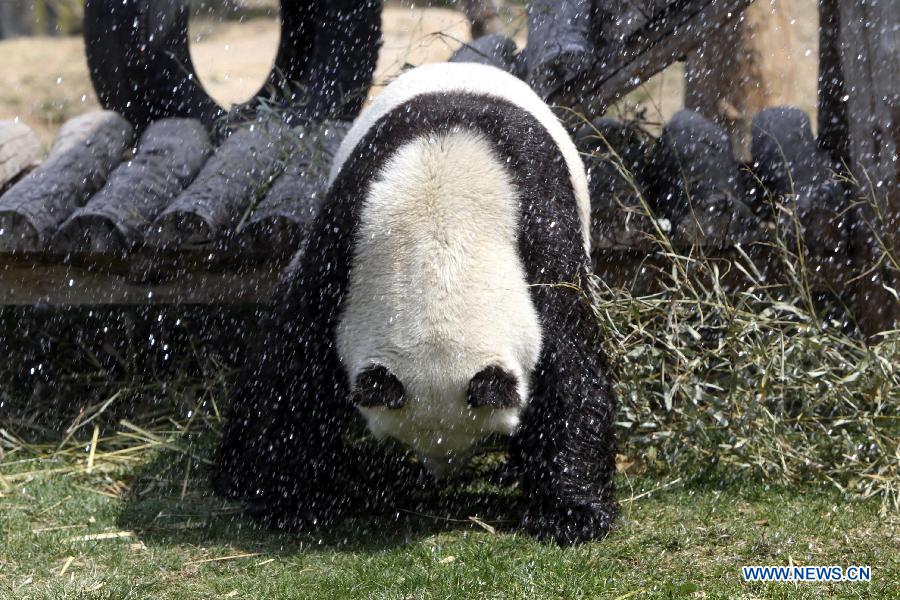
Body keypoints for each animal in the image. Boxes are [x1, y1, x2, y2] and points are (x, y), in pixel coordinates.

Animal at [214, 61, 616, 544]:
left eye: (476, 436)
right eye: (408, 438)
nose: (442, 473)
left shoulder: (541, 231)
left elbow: (571, 361)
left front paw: (570, 515)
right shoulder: (346, 233)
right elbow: (294, 354)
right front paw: (291, 496)